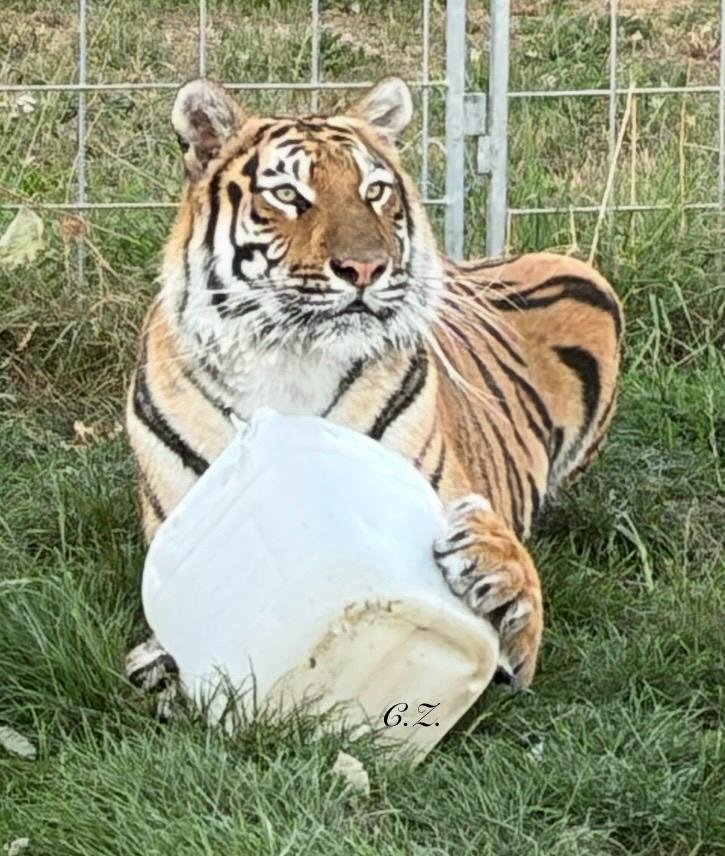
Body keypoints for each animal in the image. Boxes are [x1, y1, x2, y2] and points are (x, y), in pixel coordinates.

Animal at [125, 76, 622, 696]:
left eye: (376, 190)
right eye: (288, 195)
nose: (365, 268)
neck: (289, 363)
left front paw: (495, 566)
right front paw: (158, 666)